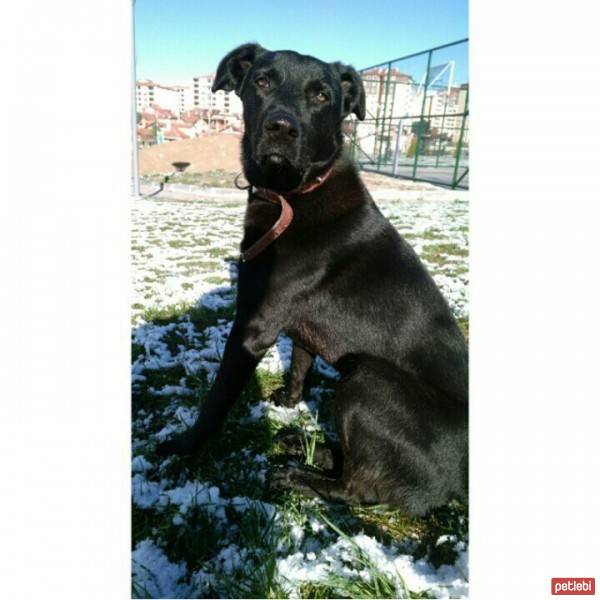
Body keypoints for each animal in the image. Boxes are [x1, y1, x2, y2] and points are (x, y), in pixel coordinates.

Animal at [159, 42, 468, 516]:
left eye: (322, 96)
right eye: (262, 81)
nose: (281, 127)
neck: (293, 194)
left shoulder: (253, 326)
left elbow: (217, 398)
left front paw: (183, 448)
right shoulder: (295, 325)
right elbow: (300, 366)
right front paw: (288, 405)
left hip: (367, 380)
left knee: (361, 490)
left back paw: (297, 476)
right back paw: (306, 444)